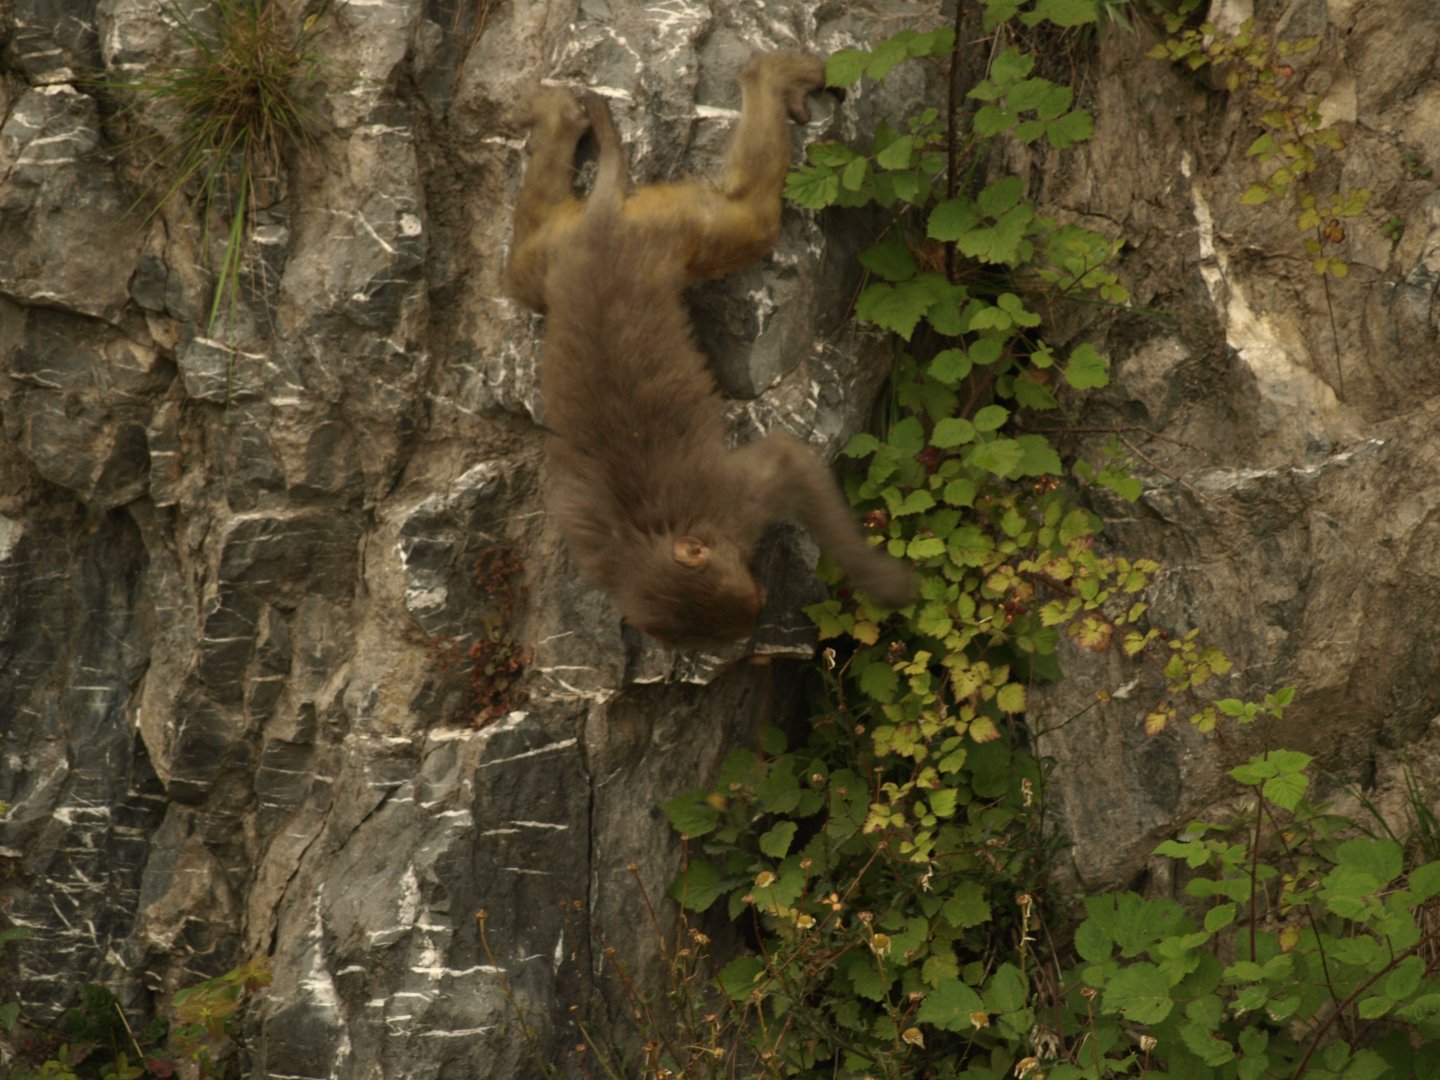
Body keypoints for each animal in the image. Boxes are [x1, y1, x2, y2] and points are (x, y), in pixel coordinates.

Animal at [510, 56, 912, 647]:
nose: (761, 605)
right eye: (749, 602)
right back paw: (560, 120)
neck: (647, 536)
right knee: (518, 280)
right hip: (560, 252)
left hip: (668, 227)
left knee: (749, 221)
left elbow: (787, 460)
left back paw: (769, 74)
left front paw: (883, 582)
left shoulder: (732, 504)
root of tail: (601, 221)